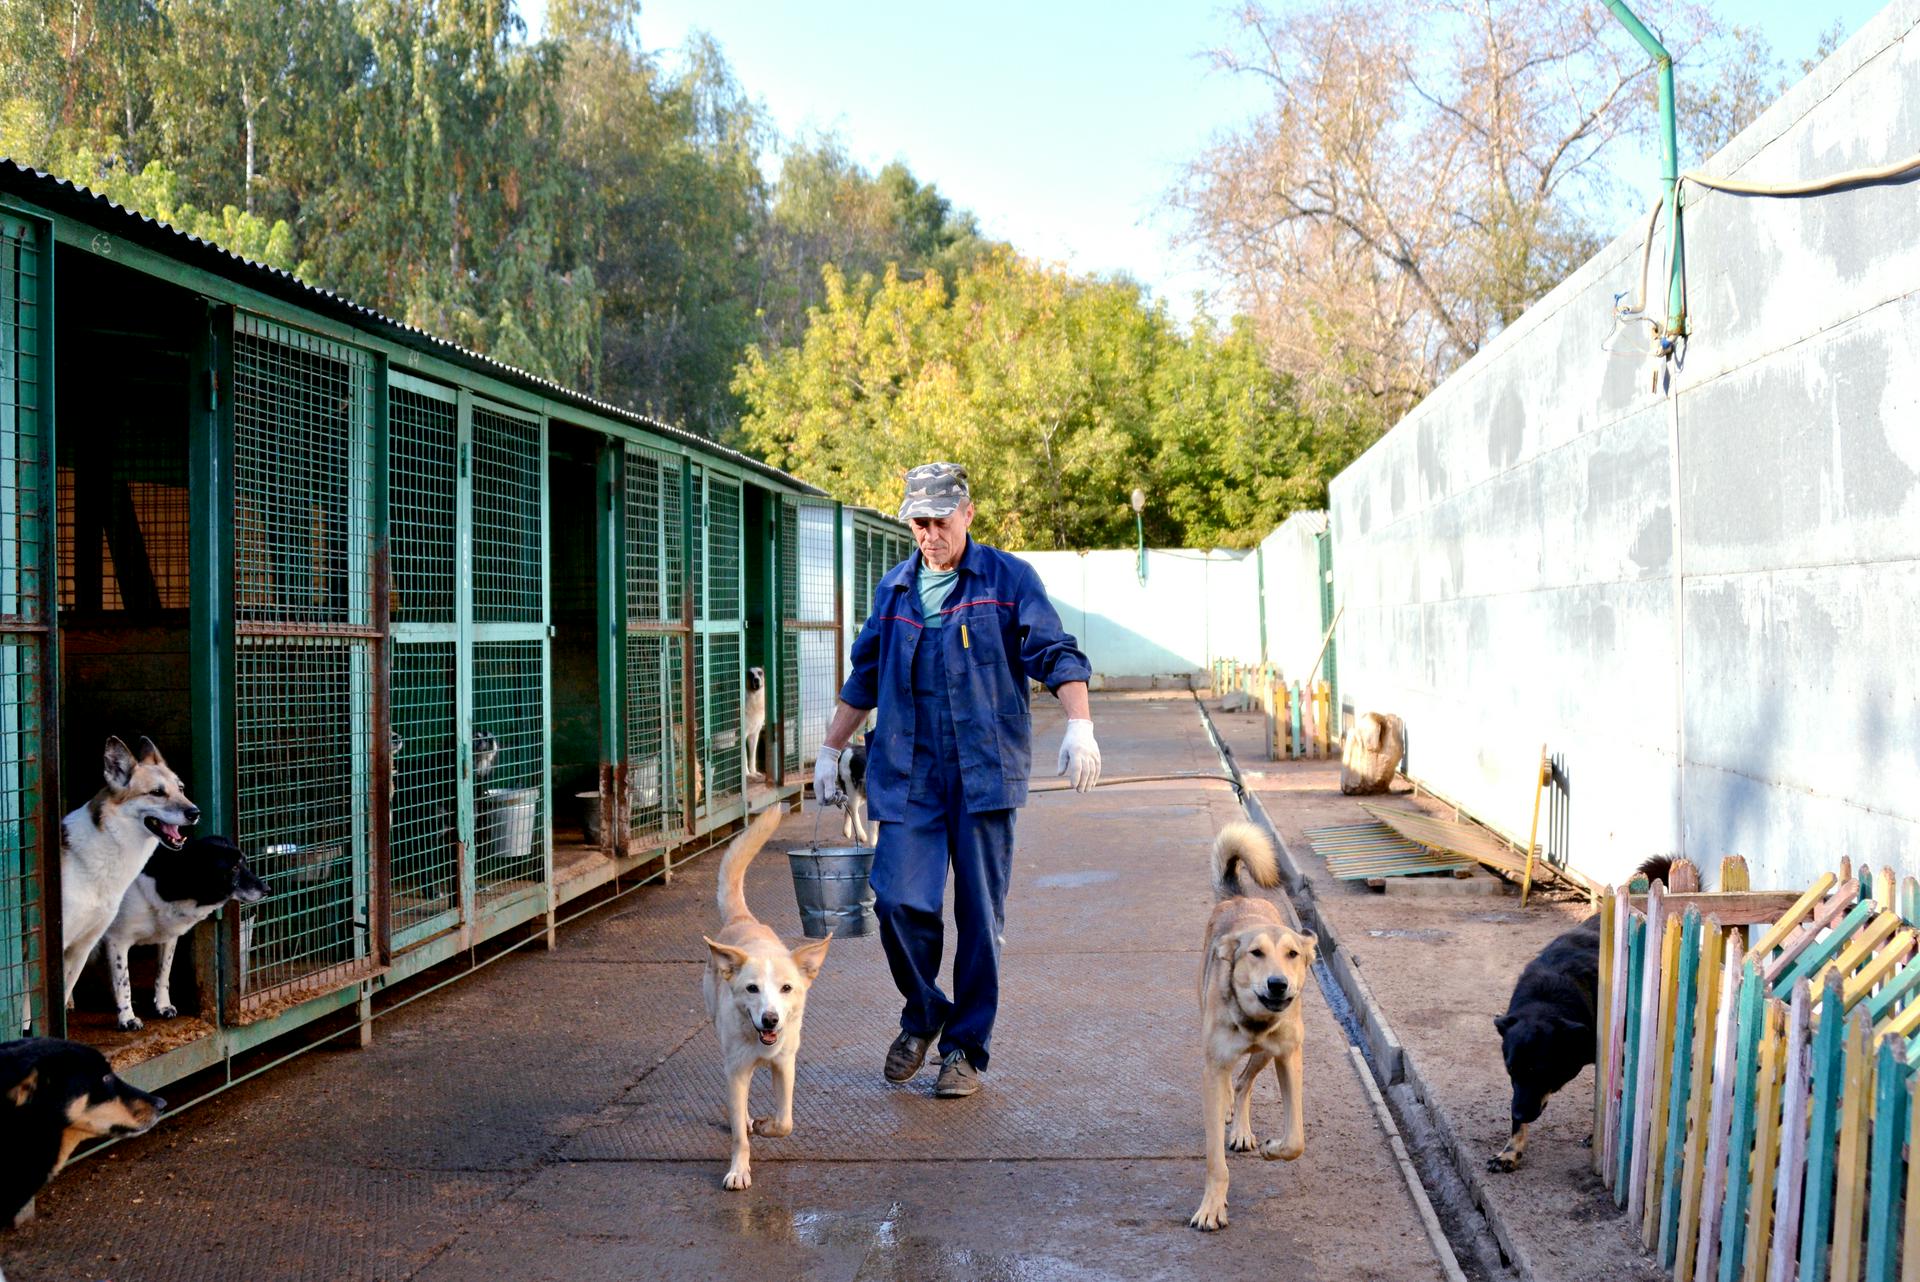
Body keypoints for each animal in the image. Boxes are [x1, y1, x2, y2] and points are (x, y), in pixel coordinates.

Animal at [102, 832, 268, 1028]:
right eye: (234, 867)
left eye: (245, 863)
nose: (267, 889)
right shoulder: (118, 940)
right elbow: (124, 983)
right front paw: (127, 1018)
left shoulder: (168, 938)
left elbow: (163, 973)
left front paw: (163, 1006)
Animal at [702, 809, 829, 1189]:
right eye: (752, 989)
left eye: (787, 988)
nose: (770, 1019)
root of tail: (744, 920)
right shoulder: (736, 1071)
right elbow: (739, 1135)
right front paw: (739, 1170)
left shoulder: (785, 1065)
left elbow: (785, 1121)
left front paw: (766, 1125)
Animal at [1182, 821, 1320, 1228]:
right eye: (1255, 953)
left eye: (1293, 954)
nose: (1278, 984)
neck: (1255, 1020)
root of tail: (1241, 898)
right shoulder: (1212, 1066)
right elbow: (1215, 1161)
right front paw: (1212, 1206)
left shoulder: (1289, 1058)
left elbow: (1296, 1139)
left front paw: (1275, 1148)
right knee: (1233, 1080)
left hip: (1265, 1055)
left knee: (1244, 1082)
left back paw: (1241, 1128)